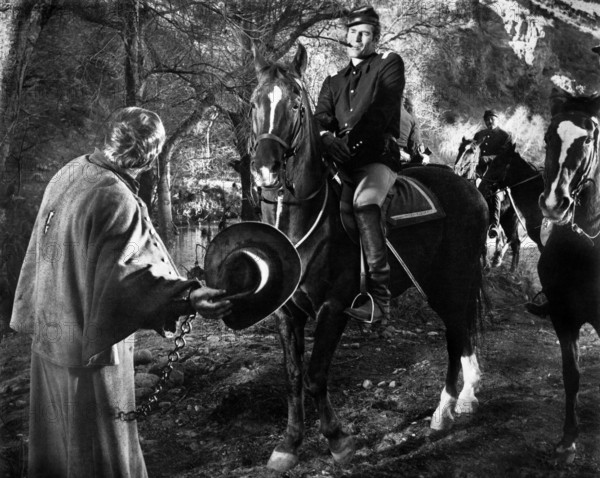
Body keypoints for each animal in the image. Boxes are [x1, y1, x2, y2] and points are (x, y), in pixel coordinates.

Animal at [251, 44, 490, 470]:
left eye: (295, 103)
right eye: (253, 103)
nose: (265, 170)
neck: (303, 217)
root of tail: (470, 188)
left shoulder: (333, 306)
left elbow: (315, 374)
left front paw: (337, 440)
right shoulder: (287, 312)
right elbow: (293, 376)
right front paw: (289, 444)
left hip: (449, 282)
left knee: (455, 334)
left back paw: (445, 410)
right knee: (461, 331)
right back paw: (463, 398)